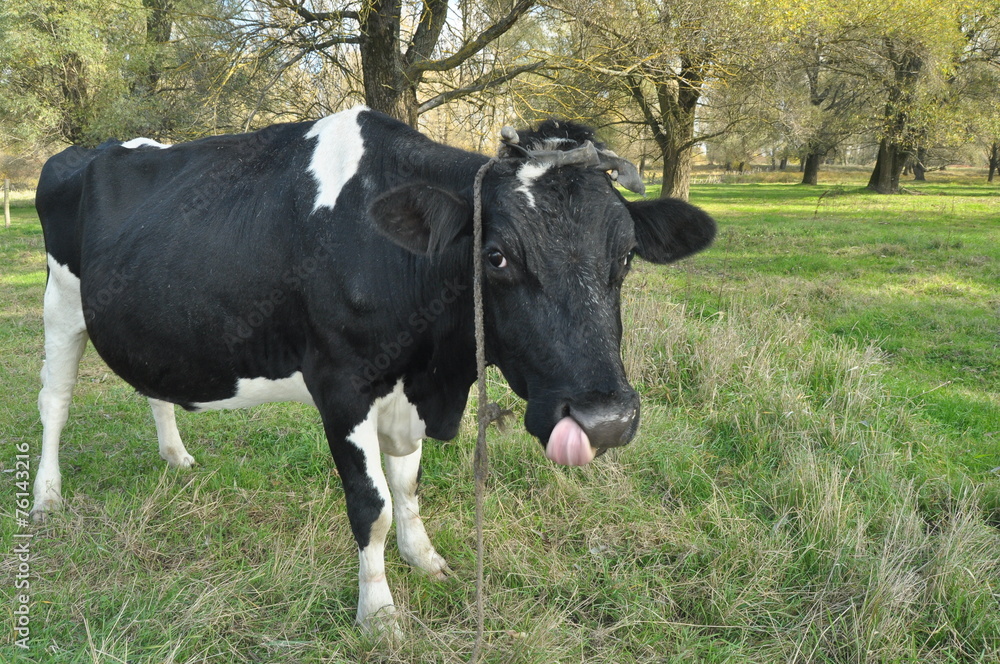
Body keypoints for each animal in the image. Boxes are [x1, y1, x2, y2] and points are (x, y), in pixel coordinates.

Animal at [33, 106, 720, 632]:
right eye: (496, 256)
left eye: (626, 256)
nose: (606, 419)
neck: (434, 371)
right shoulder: (341, 385)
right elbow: (373, 505)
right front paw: (380, 613)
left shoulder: (407, 391)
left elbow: (408, 487)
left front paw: (426, 559)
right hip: (61, 304)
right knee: (54, 403)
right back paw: (46, 498)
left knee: (152, 387)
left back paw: (175, 456)